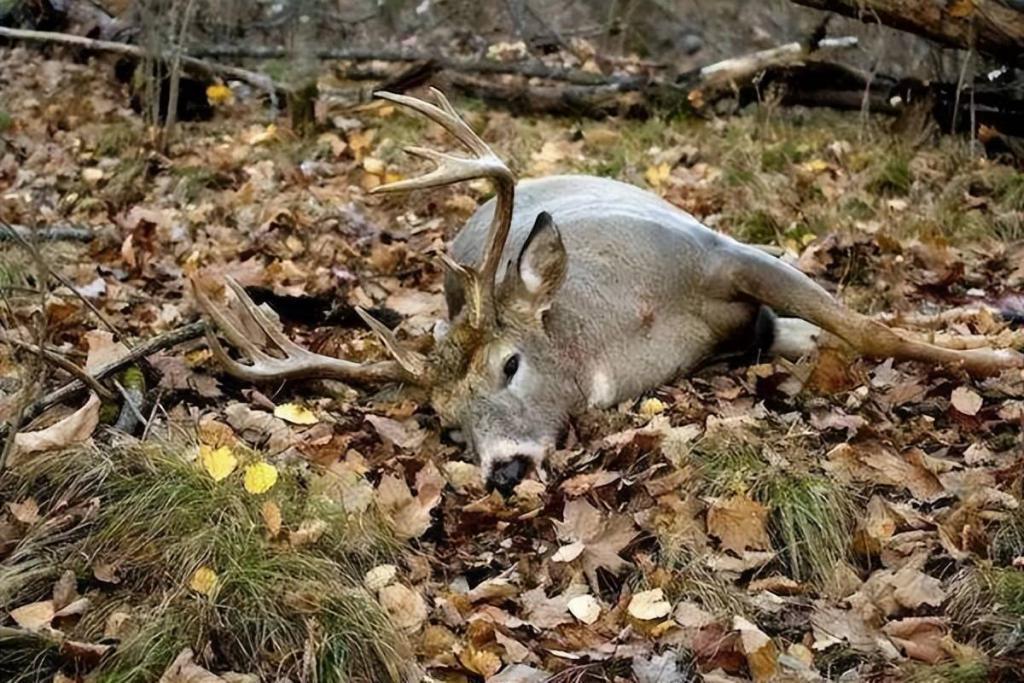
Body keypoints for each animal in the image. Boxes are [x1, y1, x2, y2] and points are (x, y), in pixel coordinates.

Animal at [192, 88, 1024, 495]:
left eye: (510, 364)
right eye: (447, 421)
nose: (503, 469)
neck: (627, 329)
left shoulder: (725, 254)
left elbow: (871, 328)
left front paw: (996, 358)